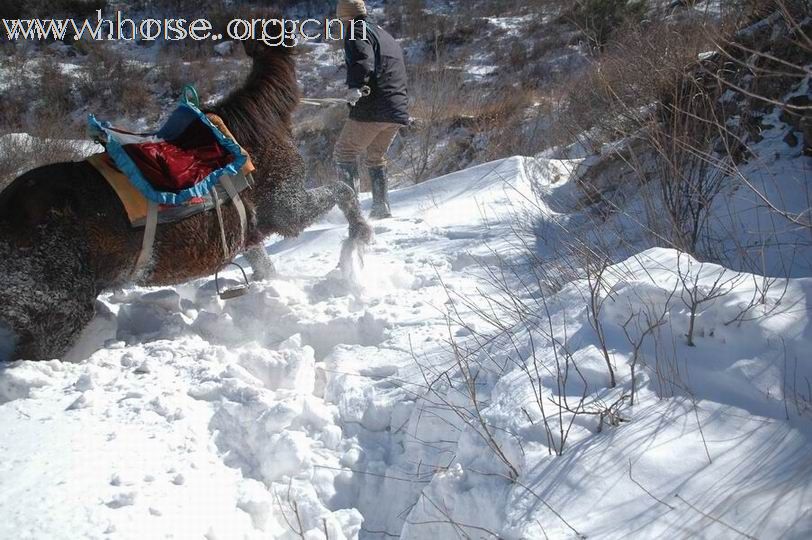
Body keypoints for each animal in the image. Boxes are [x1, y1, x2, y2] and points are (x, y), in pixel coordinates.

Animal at [0, 35, 372, 360]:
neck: (255, 127)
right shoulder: (287, 208)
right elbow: (343, 190)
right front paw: (361, 233)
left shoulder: (251, 231)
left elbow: (265, 264)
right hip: (60, 314)